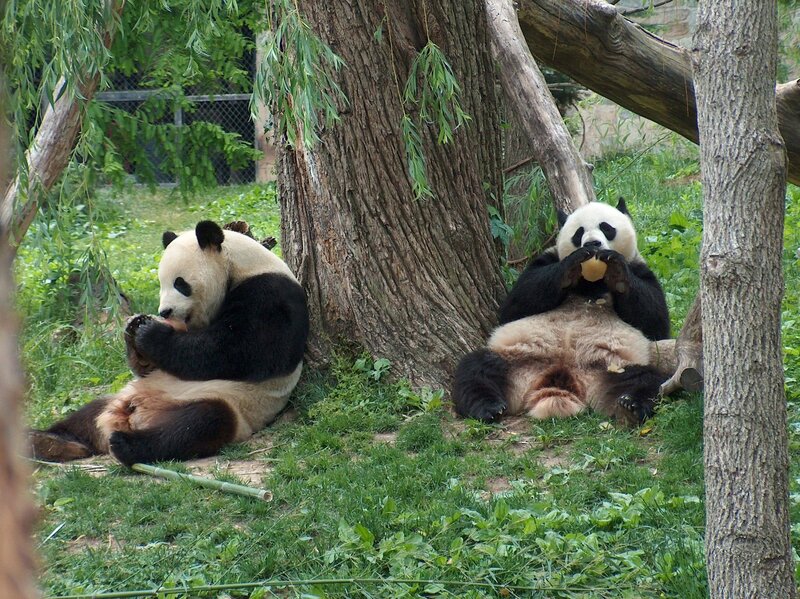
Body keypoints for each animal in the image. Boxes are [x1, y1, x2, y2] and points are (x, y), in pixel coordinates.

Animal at [30, 220, 309, 465]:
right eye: (160, 283)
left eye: (180, 284)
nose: (164, 311)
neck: (240, 266)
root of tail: (135, 415)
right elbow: (150, 367)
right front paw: (134, 327)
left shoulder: (270, 296)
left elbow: (236, 351)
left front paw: (149, 333)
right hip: (120, 395)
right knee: (86, 414)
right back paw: (48, 441)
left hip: (231, 404)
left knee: (198, 424)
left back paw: (126, 444)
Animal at [453, 199, 676, 425]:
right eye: (579, 233)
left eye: (606, 227)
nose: (592, 244)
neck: (592, 282)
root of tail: (560, 378)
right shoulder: (546, 259)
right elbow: (516, 304)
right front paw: (573, 265)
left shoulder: (639, 267)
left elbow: (654, 321)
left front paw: (616, 269)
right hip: (516, 361)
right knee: (478, 370)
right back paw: (488, 407)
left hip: (612, 366)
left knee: (646, 380)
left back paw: (631, 404)